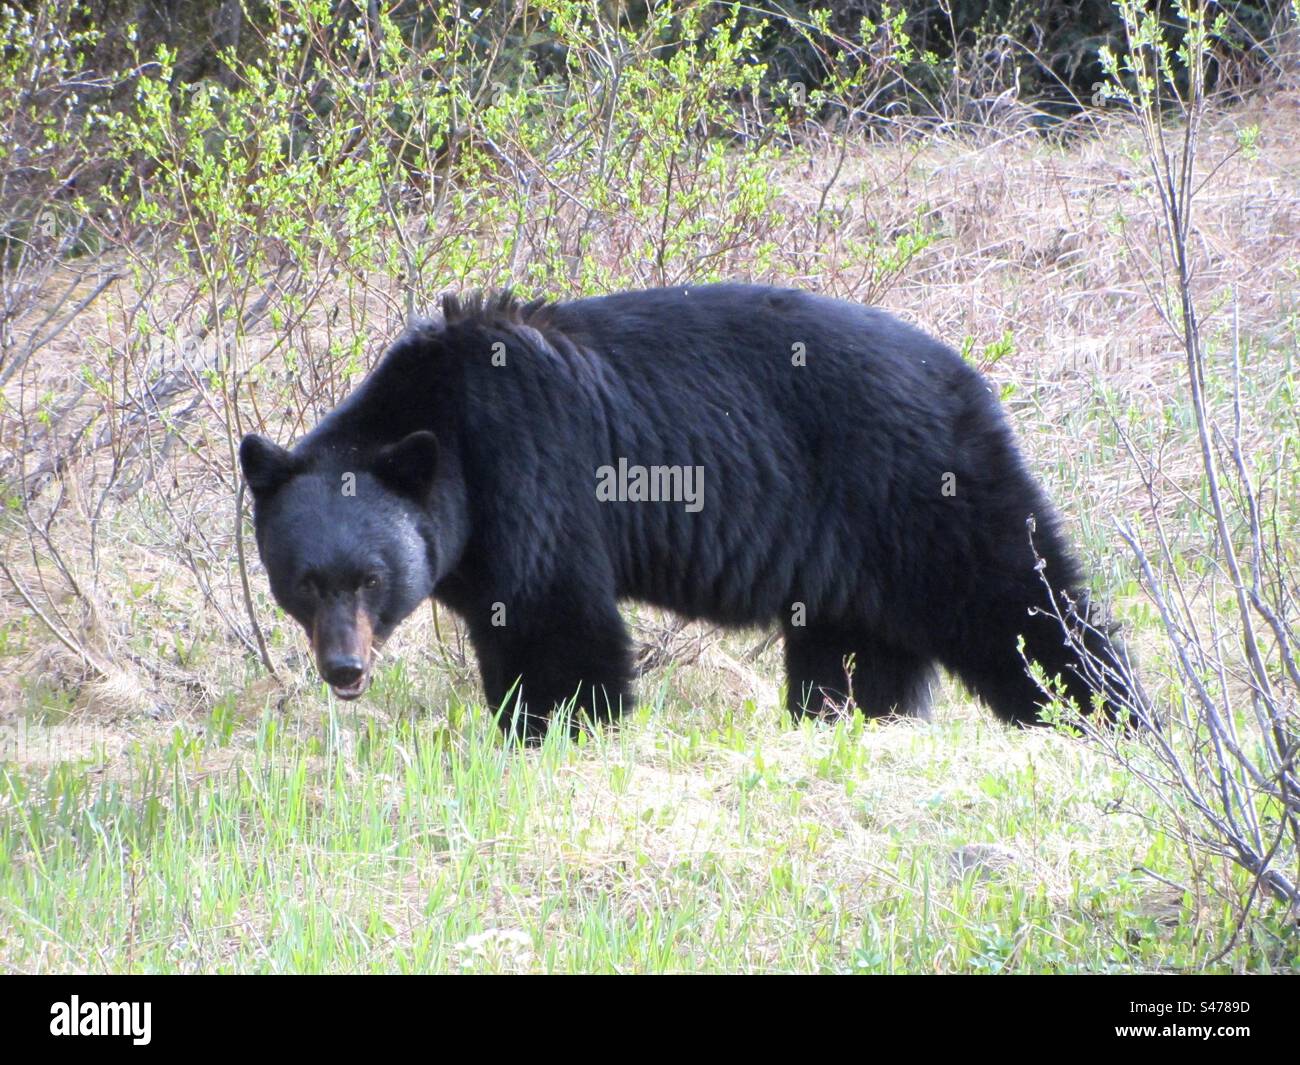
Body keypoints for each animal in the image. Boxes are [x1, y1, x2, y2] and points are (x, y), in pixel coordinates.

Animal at [239, 283, 1137, 741]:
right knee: (856, 653)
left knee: (1018, 602)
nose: (343, 668)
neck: (451, 424)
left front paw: (566, 726)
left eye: (370, 576)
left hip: (918, 487)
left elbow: (558, 620)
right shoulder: (477, 541)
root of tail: (969, 374)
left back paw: (1109, 714)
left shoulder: (534, 474)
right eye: (306, 580)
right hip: (854, 555)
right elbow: (504, 626)